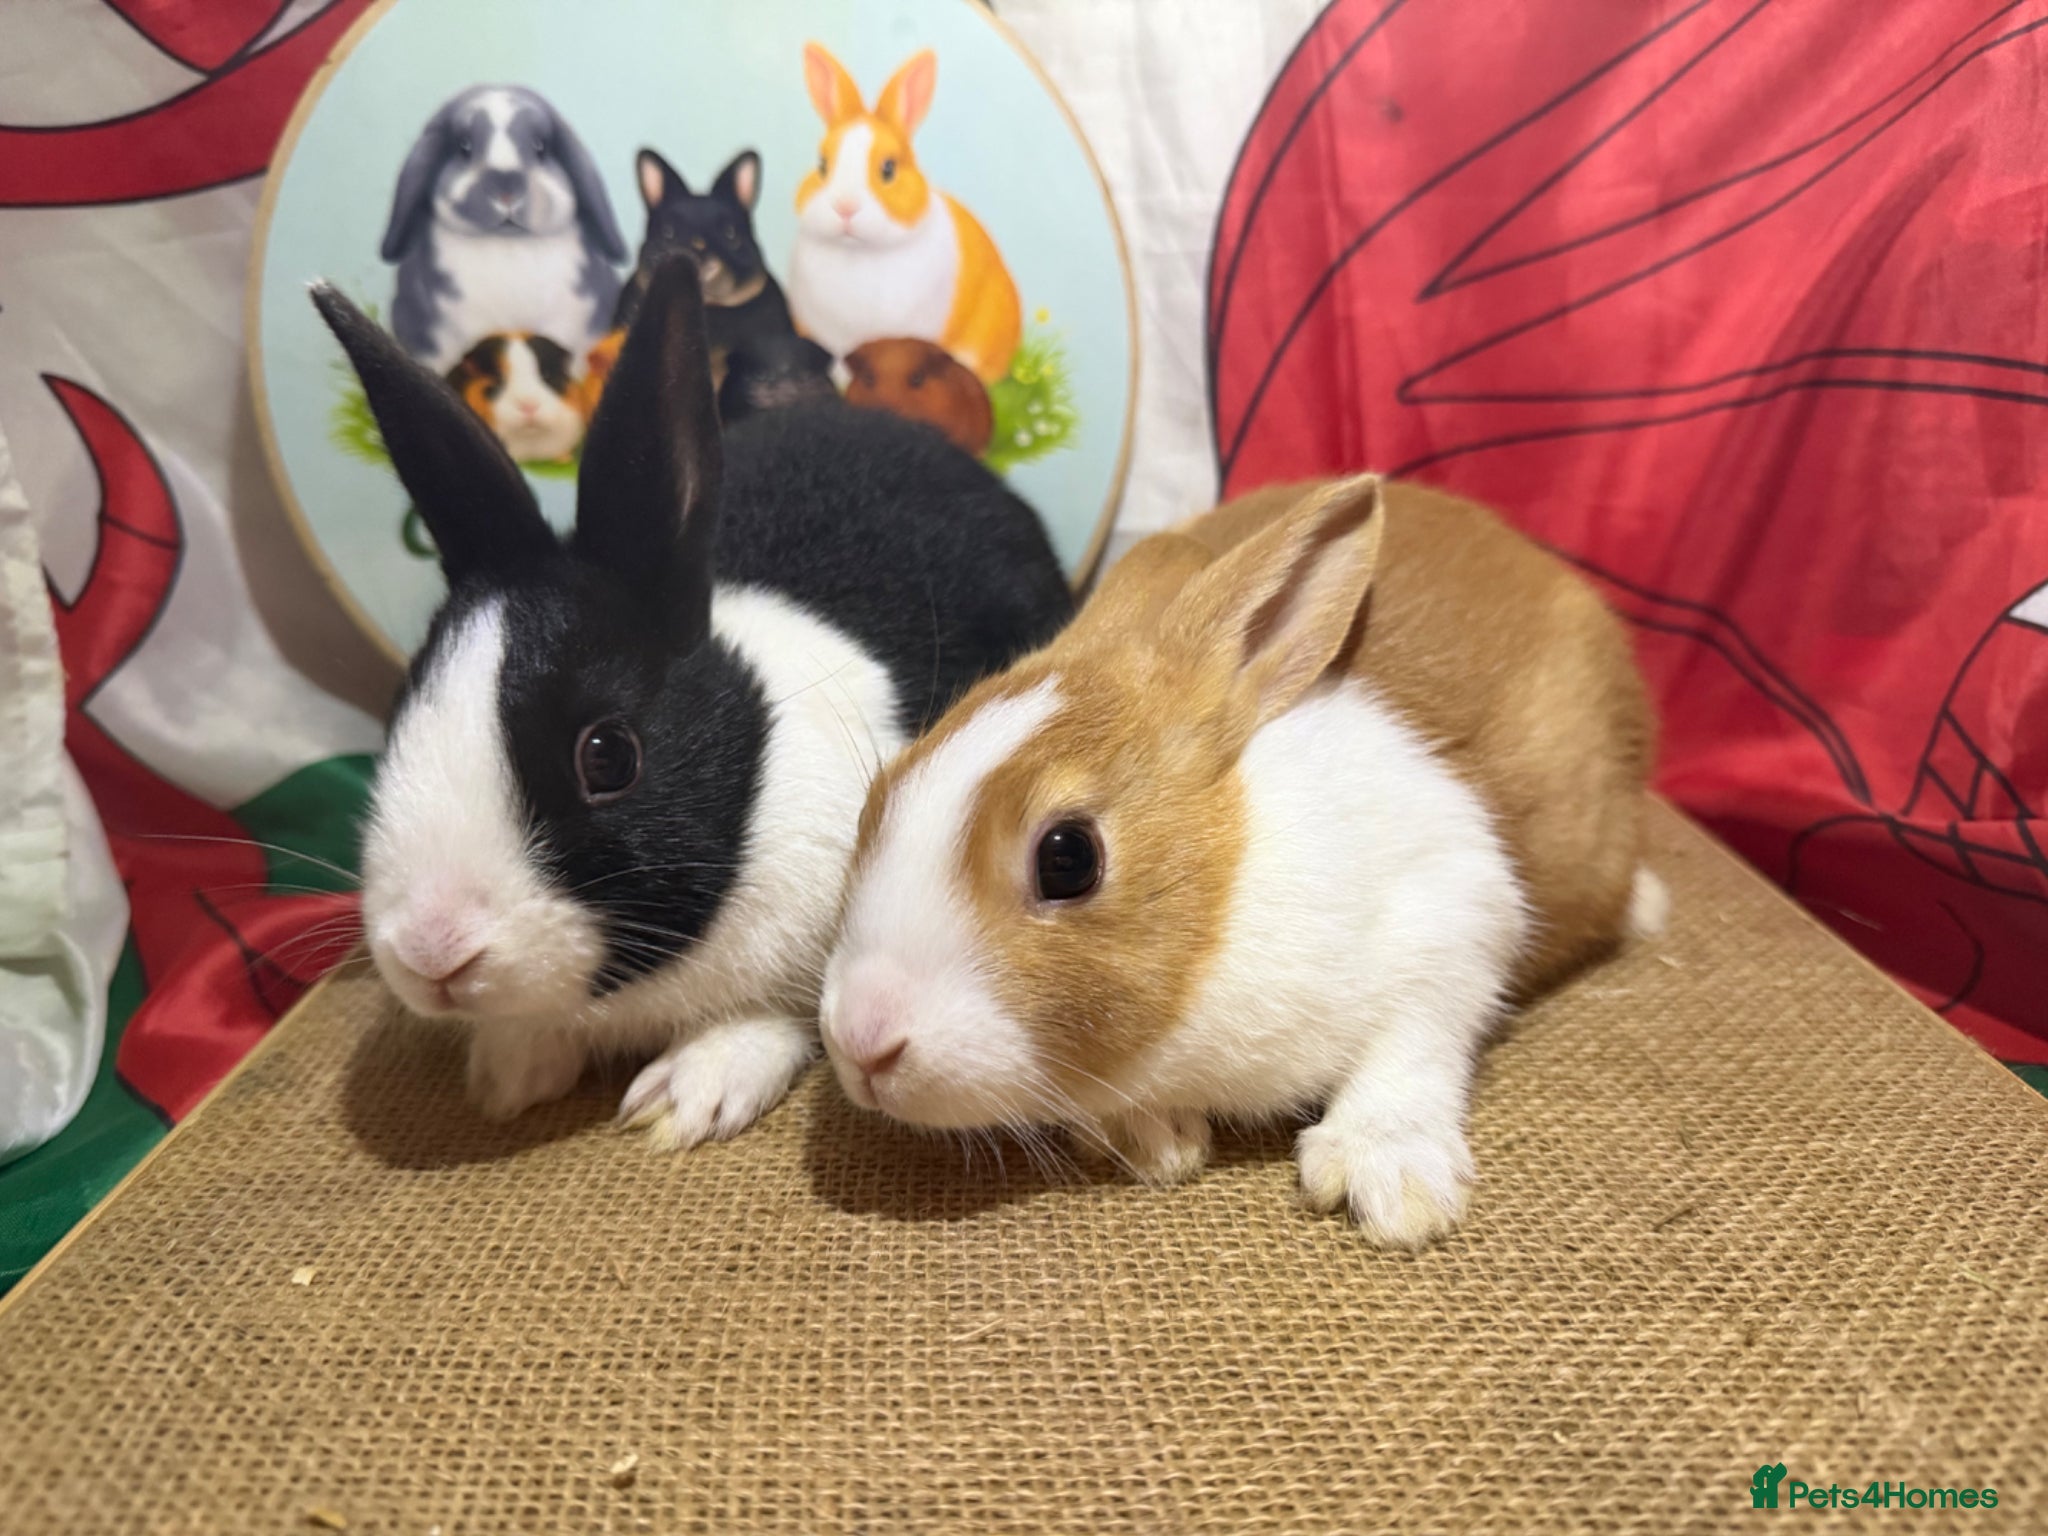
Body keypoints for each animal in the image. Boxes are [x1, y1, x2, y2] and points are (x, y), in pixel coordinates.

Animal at [817, 474, 1663, 1248]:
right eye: (878, 796)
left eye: (1068, 858)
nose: (859, 1043)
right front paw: (1152, 1143)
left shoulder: (1457, 908)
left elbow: (1415, 1039)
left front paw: (1389, 1183)